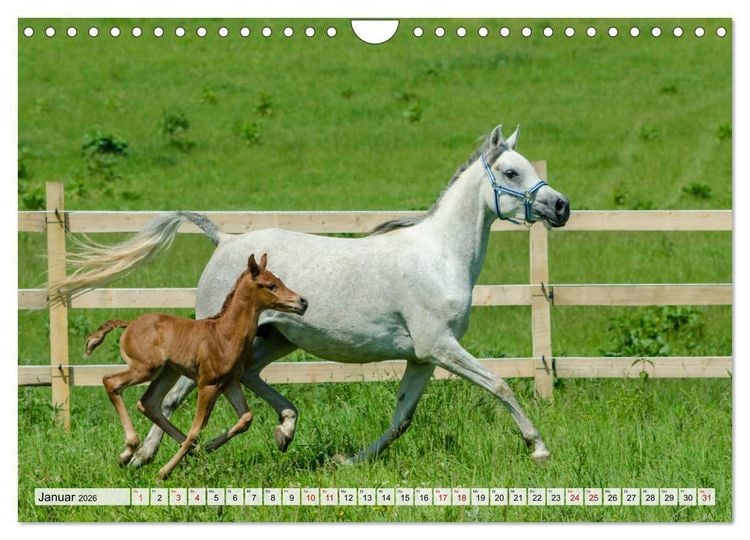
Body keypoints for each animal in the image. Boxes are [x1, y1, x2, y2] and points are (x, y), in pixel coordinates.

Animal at [84, 254, 308, 479]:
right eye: (271, 285)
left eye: (280, 281)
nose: (303, 302)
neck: (224, 335)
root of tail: (129, 324)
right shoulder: (207, 384)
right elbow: (196, 430)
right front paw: (163, 473)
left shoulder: (229, 383)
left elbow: (245, 418)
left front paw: (205, 448)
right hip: (146, 368)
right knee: (111, 382)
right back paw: (129, 450)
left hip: (168, 372)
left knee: (148, 403)